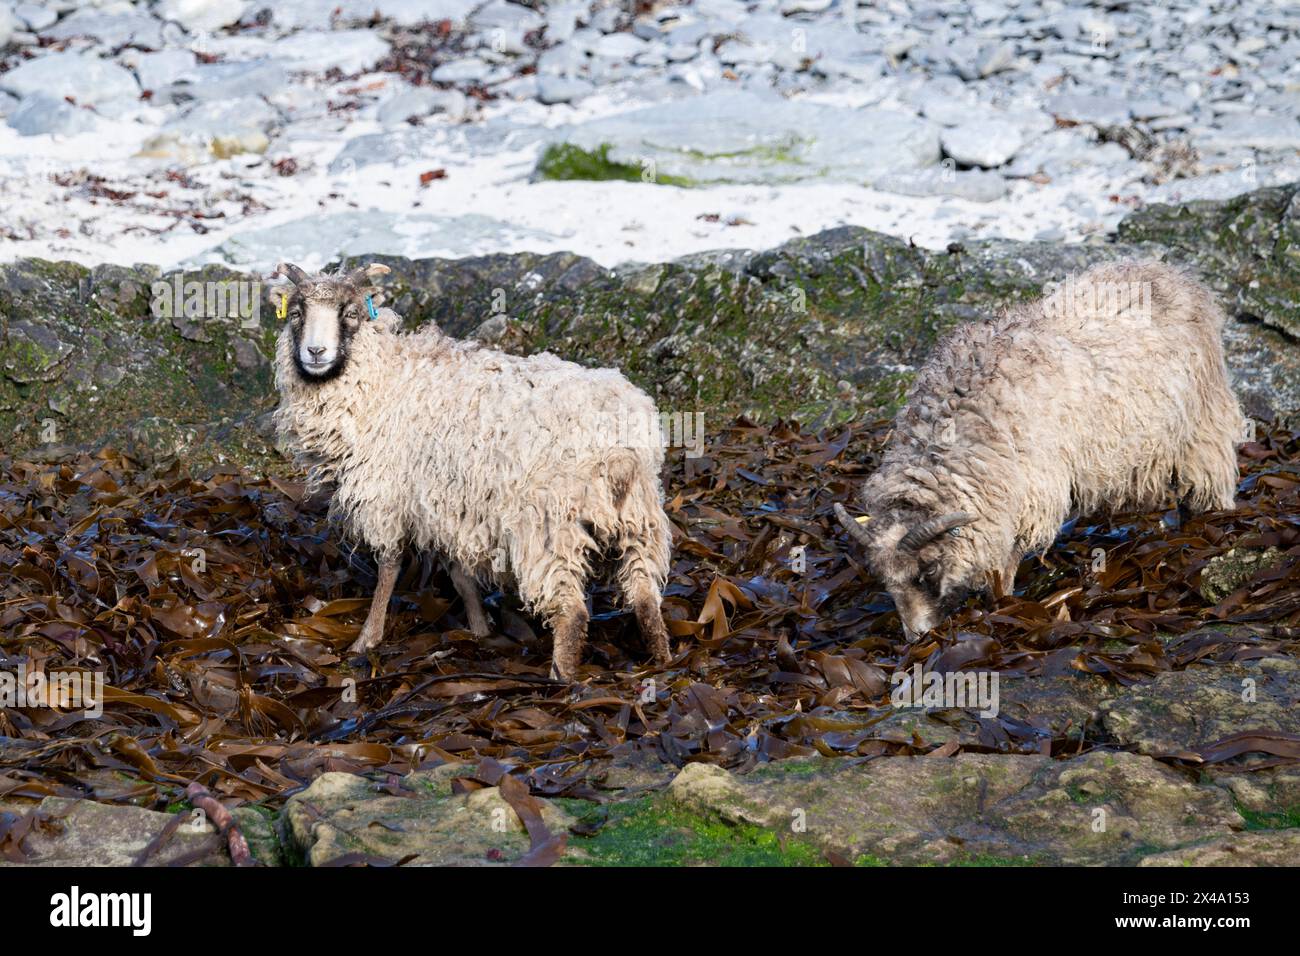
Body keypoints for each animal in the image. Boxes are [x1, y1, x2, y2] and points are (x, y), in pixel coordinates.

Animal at [270, 262, 673, 680]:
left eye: (349, 313)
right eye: (296, 313)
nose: (316, 352)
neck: (382, 381)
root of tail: (618, 446)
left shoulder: (387, 495)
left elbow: (389, 566)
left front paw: (367, 639)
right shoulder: (450, 506)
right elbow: (461, 576)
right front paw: (480, 629)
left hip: (549, 526)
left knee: (572, 611)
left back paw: (561, 677)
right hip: (639, 516)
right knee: (645, 595)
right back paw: (662, 660)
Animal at [834, 260, 1243, 641]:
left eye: (927, 571)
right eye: (886, 581)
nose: (915, 636)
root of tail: (1167, 270)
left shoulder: (1026, 497)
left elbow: (1006, 563)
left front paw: (1001, 604)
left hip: (1202, 424)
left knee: (1208, 485)